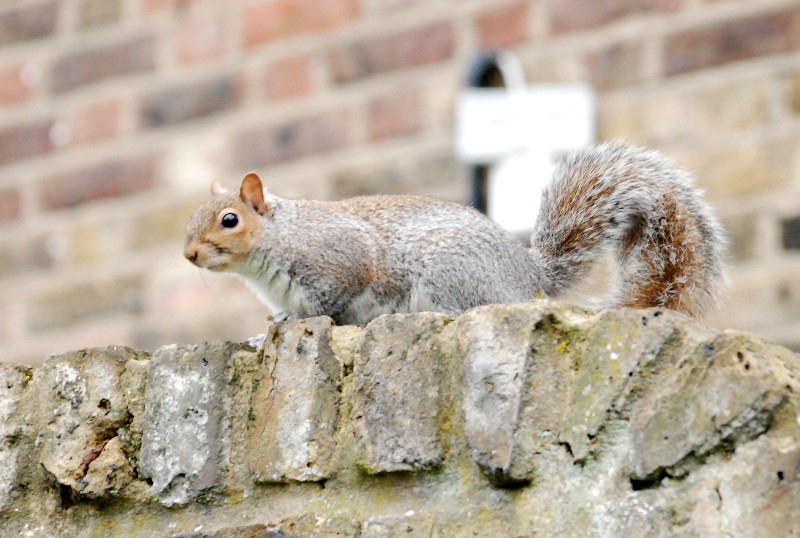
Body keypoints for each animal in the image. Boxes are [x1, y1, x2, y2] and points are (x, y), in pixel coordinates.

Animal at [184, 140, 728, 322]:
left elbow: (330, 302)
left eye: (230, 220)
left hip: (448, 270)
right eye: (190, 219)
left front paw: (299, 321)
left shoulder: (338, 261)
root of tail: (530, 276)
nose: (189, 256)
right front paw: (275, 323)